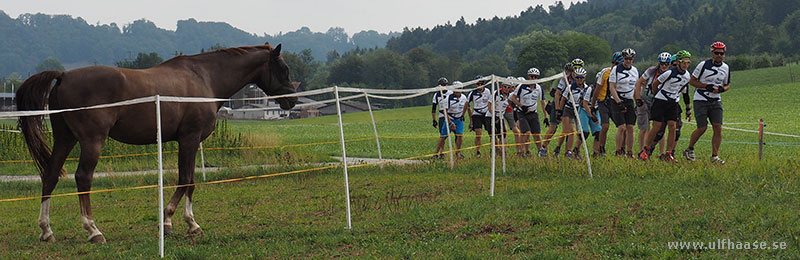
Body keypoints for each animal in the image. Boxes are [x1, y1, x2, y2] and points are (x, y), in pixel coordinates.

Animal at [16, 43, 296, 244]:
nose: (291, 101)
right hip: (91, 141)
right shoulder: (189, 139)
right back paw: (93, 230)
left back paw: (46, 231)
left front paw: (182, 223)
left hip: (65, 139)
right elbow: (186, 179)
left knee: (50, 175)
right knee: (83, 178)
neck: (204, 78)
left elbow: (189, 181)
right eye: (284, 69)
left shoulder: (186, 142)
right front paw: (177, 222)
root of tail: (63, 75)